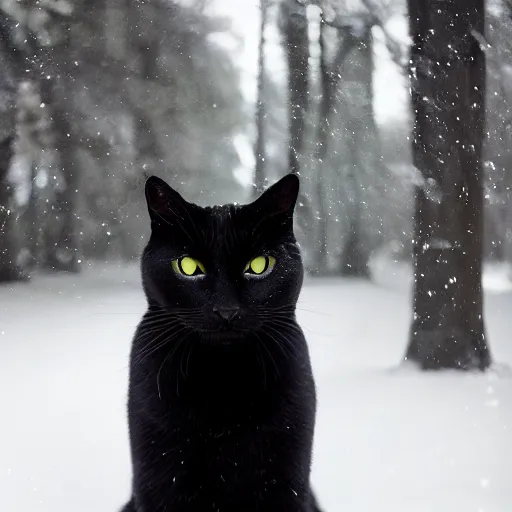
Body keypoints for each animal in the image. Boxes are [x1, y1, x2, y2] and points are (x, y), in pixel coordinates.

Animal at [121, 174, 320, 510]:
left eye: (259, 265)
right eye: (188, 267)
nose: (226, 310)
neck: (223, 382)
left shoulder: (287, 481)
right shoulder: (158, 478)